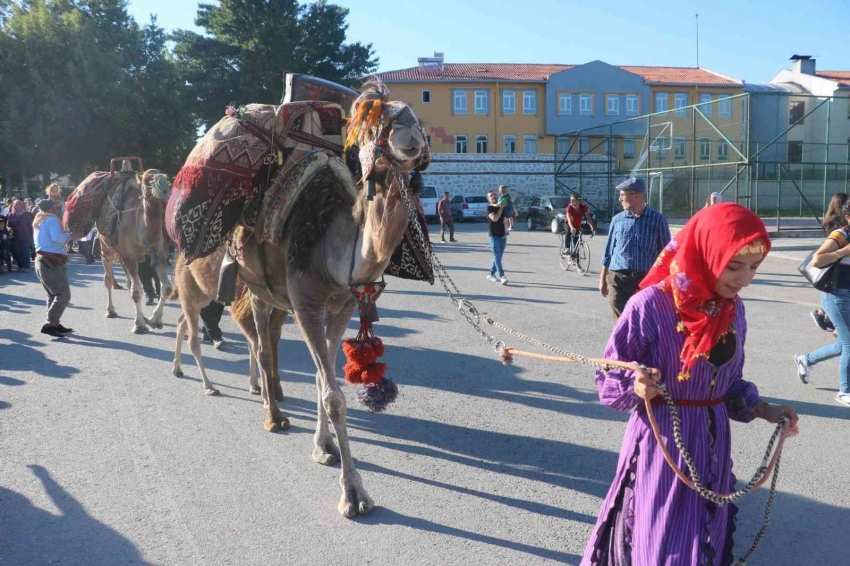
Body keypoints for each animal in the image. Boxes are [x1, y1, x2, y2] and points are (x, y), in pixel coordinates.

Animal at [97, 161, 173, 332]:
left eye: (166, 180)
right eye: (147, 181)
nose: (165, 193)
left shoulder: (159, 254)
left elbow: (167, 288)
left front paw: (154, 320)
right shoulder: (129, 256)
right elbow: (137, 291)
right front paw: (139, 325)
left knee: (129, 282)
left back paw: (142, 316)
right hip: (106, 248)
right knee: (108, 279)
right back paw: (110, 311)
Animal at [172, 84, 428, 520]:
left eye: (415, 115)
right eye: (376, 119)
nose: (410, 134)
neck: (334, 249)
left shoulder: (341, 307)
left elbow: (324, 379)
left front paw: (323, 448)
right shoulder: (307, 305)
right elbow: (334, 394)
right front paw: (353, 493)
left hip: (272, 297)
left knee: (266, 342)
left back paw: (272, 398)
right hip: (254, 287)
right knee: (260, 346)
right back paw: (273, 415)